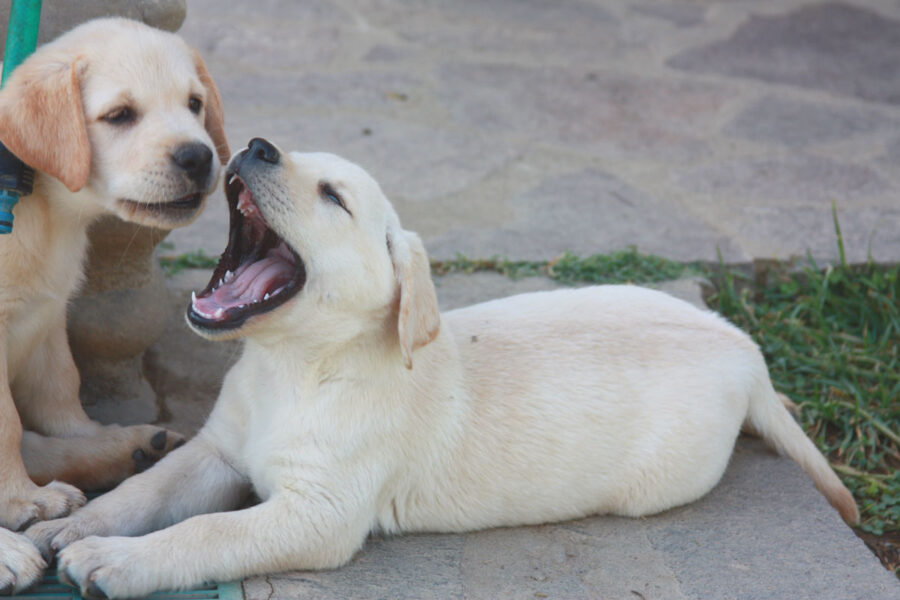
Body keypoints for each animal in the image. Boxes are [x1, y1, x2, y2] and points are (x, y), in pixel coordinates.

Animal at [0, 17, 229, 592]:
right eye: (120, 115)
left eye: (194, 104)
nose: (199, 157)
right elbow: (6, 424)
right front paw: (20, 500)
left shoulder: (45, 316)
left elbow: (60, 393)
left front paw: (88, 442)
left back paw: (132, 448)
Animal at [28, 139, 856, 596]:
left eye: (334, 197)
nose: (257, 145)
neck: (296, 366)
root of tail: (743, 347)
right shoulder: (216, 450)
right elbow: (146, 489)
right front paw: (72, 524)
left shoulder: (318, 513)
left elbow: (205, 533)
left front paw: (116, 561)